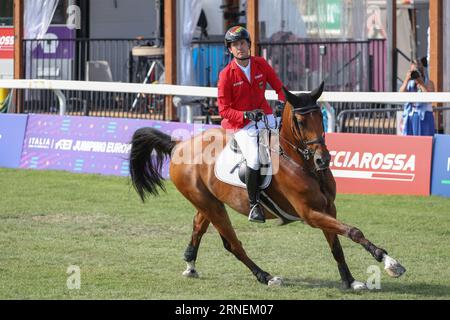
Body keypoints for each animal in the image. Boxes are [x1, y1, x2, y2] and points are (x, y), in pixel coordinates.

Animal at [128, 83, 406, 290]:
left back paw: (190, 266)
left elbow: (337, 244)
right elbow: (353, 231)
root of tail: (179, 145)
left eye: (320, 117)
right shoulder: (310, 214)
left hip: (208, 202)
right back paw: (265, 276)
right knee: (233, 244)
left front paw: (350, 280)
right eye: (300, 122)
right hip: (211, 206)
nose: (323, 160)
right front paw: (390, 262)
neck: (302, 163)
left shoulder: (328, 208)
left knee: (198, 228)